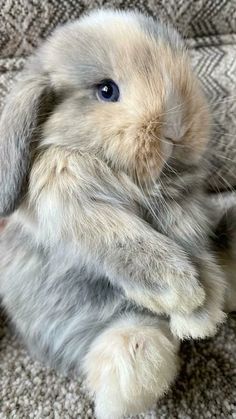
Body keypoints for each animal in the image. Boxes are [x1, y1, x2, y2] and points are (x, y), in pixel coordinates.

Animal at [0, 9, 230, 419]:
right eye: (107, 91)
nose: (178, 128)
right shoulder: (75, 205)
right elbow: (134, 247)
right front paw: (185, 295)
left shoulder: (183, 215)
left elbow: (199, 257)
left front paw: (199, 320)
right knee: (130, 348)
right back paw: (123, 394)